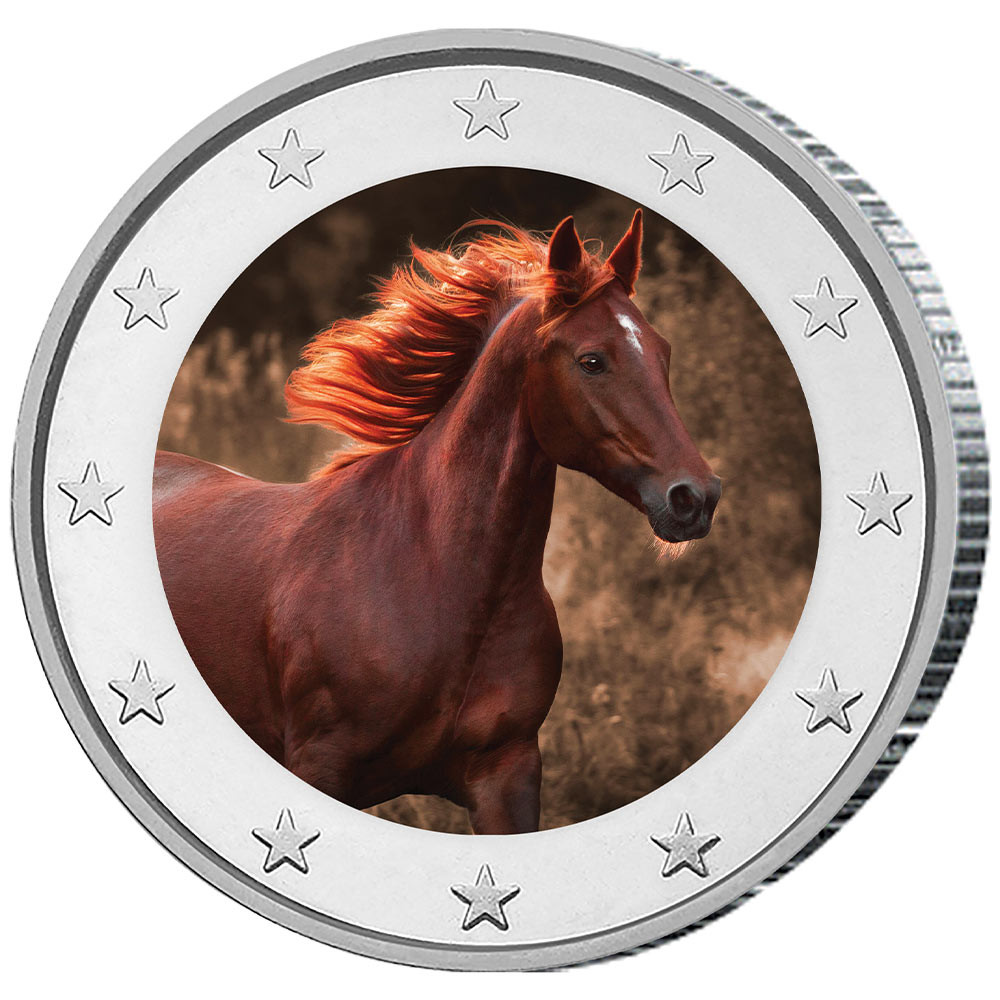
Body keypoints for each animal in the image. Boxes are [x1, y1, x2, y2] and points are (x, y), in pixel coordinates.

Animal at [153, 210, 721, 834]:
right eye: (591, 360)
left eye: (663, 353)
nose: (695, 497)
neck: (436, 581)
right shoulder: (322, 765)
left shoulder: (506, 774)